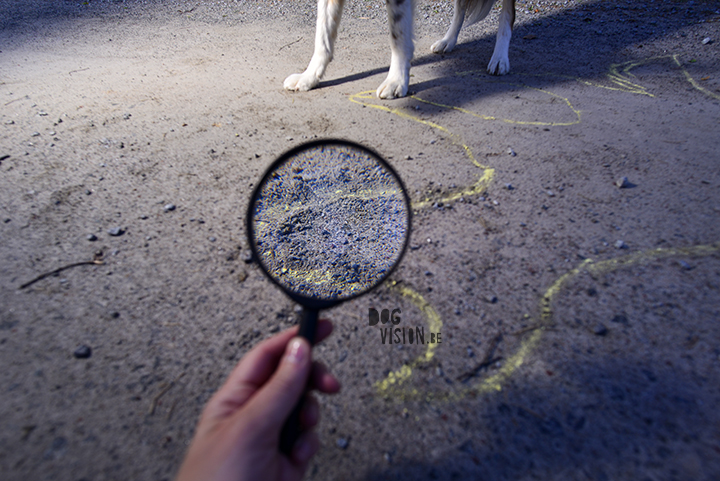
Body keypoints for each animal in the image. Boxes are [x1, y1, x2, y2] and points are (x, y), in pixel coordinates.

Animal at [284, 0, 516, 99]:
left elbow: (398, 36)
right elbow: (322, 33)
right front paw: (309, 76)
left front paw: (396, 81)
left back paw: (500, 57)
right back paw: (448, 40)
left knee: (508, 14)